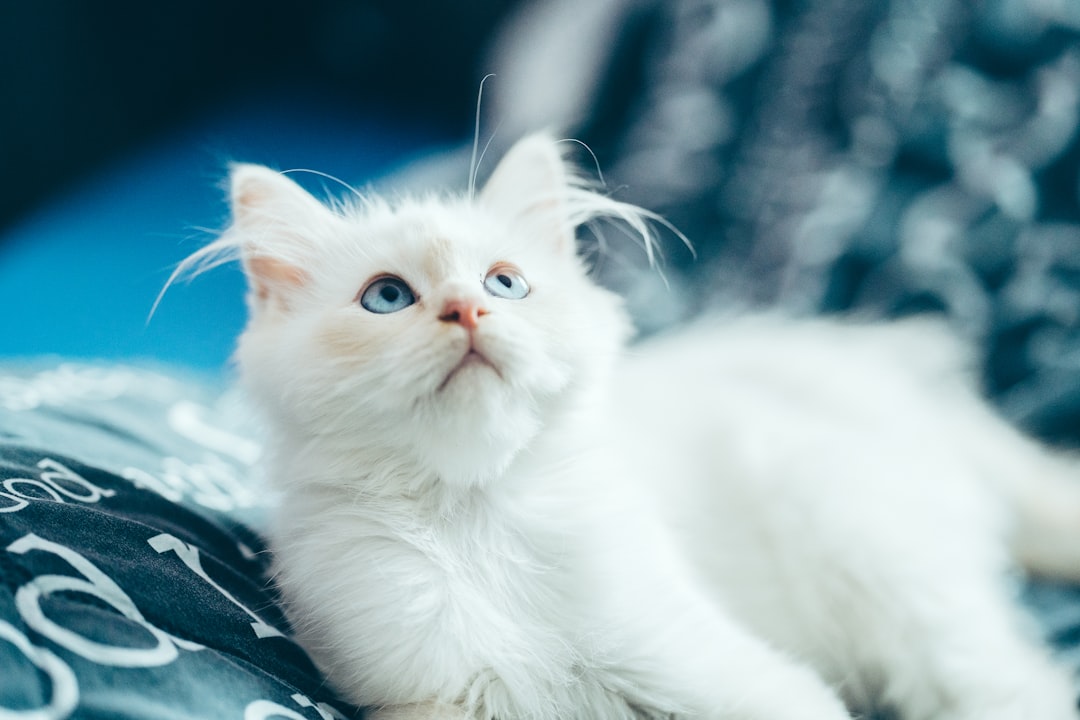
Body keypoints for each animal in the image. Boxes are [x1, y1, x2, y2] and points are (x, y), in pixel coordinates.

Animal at [190, 134, 1080, 720]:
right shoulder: (428, 700)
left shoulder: (712, 666)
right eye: (387, 298)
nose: (467, 310)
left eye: (505, 284)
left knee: (1009, 685)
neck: (478, 519)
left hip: (879, 565)